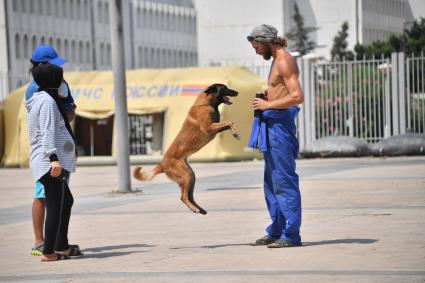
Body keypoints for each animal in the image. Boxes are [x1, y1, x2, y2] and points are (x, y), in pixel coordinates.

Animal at [132, 84, 238, 215]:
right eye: (224, 88)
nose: (237, 92)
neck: (206, 103)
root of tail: (162, 165)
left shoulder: (215, 127)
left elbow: (228, 123)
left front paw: (234, 132)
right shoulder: (209, 128)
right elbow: (229, 122)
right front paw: (235, 132)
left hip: (191, 176)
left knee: (190, 196)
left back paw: (200, 209)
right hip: (187, 176)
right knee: (183, 197)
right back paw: (194, 209)